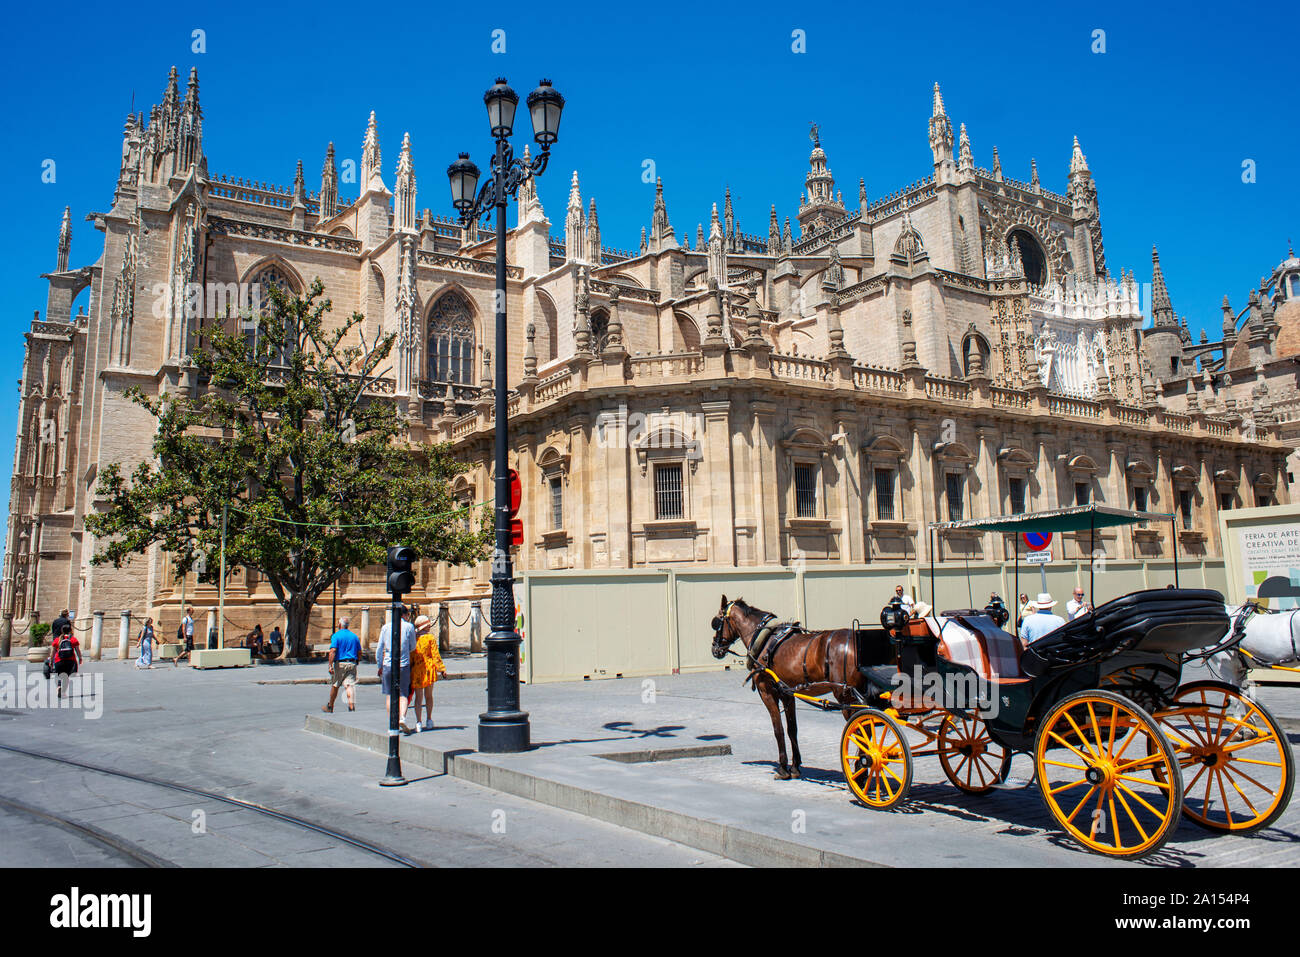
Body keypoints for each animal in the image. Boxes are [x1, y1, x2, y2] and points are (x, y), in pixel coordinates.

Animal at [712, 595, 863, 780]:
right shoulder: (787, 694)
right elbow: (792, 729)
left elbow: (778, 729)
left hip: (845, 696)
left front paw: (783, 768)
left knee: (861, 730)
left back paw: (860, 769)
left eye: (717, 622)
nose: (715, 648)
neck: (764, 641)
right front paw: (795, 766)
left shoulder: (767, 691)